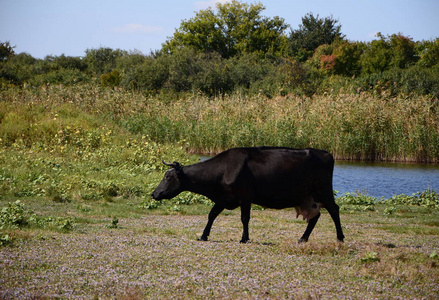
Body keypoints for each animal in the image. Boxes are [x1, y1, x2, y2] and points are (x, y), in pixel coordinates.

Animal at [153, 146, 346, 243]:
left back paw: (340, 238)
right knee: (315, 216)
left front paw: (244, 238)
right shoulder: (224, 197)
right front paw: (203, 235)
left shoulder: (245, 196)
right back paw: (303, 238)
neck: (224, 169)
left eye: (168, 176)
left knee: (334, 210)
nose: (154, 193)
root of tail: (326, 153)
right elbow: (211, 215)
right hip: (309, 197)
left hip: (323, 191)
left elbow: (244, 218)